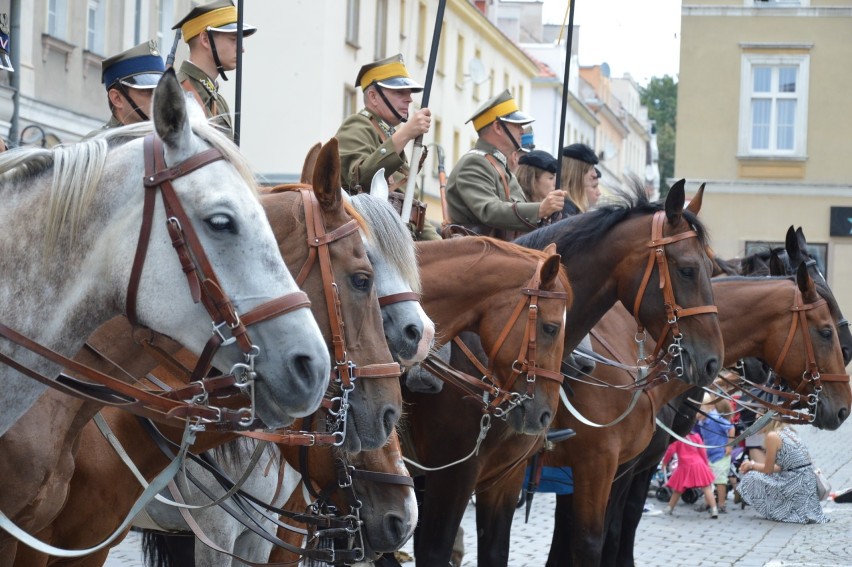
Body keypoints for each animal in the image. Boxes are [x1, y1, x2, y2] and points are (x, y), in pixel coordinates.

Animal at [402, 180, 724, 564]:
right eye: (687, 269)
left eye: (712, 268)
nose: (712, 361)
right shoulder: (455, 474)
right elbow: (588, 540)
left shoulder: (510, 478)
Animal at [544, 264, 848, 564]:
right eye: (826, 331)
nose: (844, 406)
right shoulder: (604, 467)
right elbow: (603, 531)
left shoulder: (624, 469)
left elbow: (616, 523)